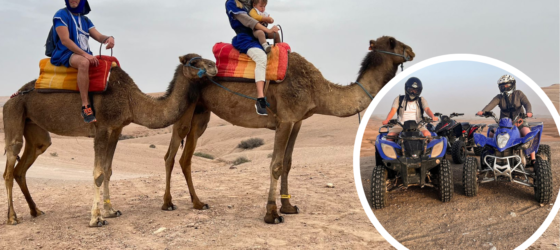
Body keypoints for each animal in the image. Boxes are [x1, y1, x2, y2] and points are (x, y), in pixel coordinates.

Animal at [2, 53, 217, 227]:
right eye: (193, 61)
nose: (214, 65)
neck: (130, 100)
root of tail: (11, 97)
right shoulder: (102, 129)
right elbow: (98, 173)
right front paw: (96, 219)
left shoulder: (116, 130)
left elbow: (108, 171)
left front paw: (111, 211)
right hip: (14, 113)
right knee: (9, 167)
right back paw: (12, 217)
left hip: (34, 127)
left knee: (26, 163)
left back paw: (36, 211)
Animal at [162, 35, 416, 225]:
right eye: (393, 42)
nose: (412, 50)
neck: (316, 90)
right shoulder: (284, 119)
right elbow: (275, 165)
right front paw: (272, 214)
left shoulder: (297, 121)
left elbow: (287, 163)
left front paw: (288, 206)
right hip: (185, 107)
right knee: (171, 154)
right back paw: (168, 203)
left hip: (200, 113)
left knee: (185, 156)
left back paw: (197, 203)